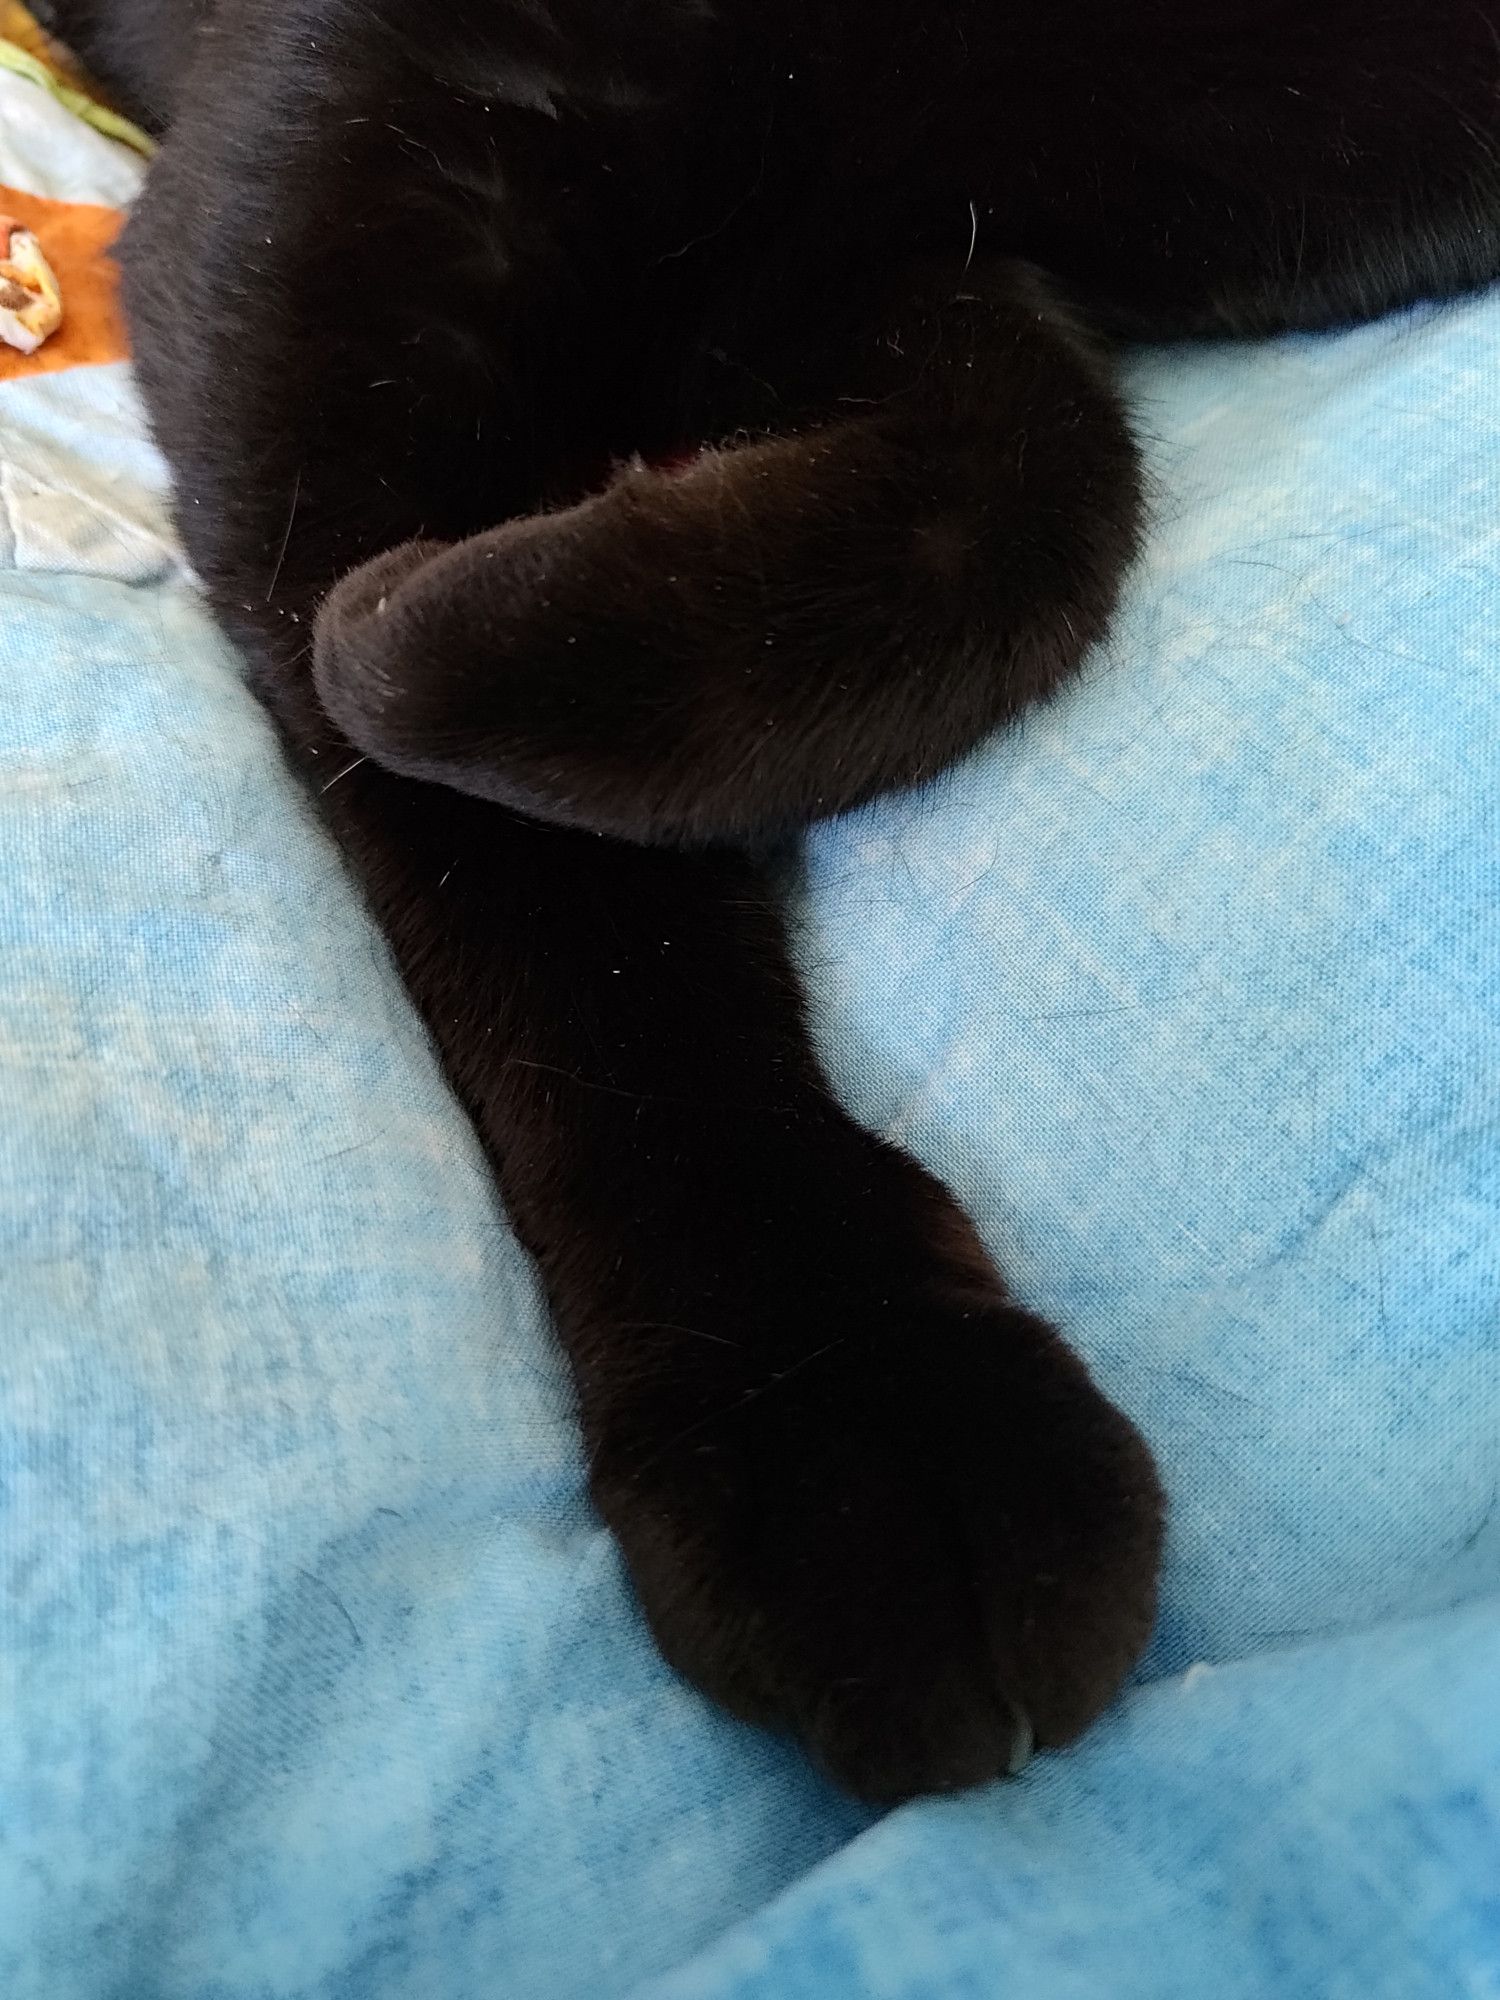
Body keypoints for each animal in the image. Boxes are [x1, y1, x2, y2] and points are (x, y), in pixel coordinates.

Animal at [44, 0, 1500, 1808]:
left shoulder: (905, 263)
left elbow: (1029, 499)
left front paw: (448, 647)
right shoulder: (347, 270)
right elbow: (578, 930)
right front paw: (830, 1389)